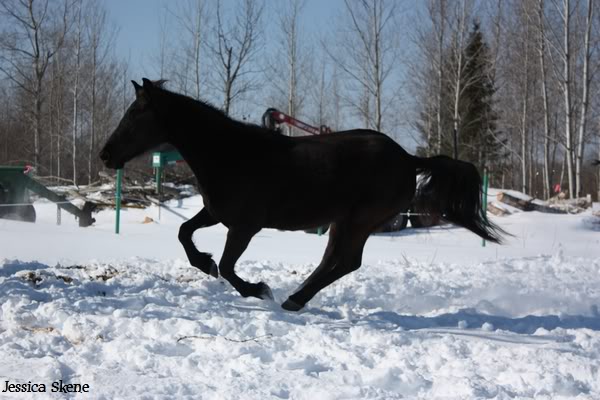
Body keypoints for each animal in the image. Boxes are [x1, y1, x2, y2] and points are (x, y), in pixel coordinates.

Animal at [101, 78, 504, 310]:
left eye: (136, 114)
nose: (105, 155)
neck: (230, 154)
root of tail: (408, 158)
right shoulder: (217, 213)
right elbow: (184, 233)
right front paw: (205, 262)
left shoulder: (245, 226)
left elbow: (229, 267)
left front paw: (258, 289)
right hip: (345, 222)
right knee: (336, 261)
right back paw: (296, 298)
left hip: (359, 221)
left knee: (345, 262)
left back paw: (292, 300)